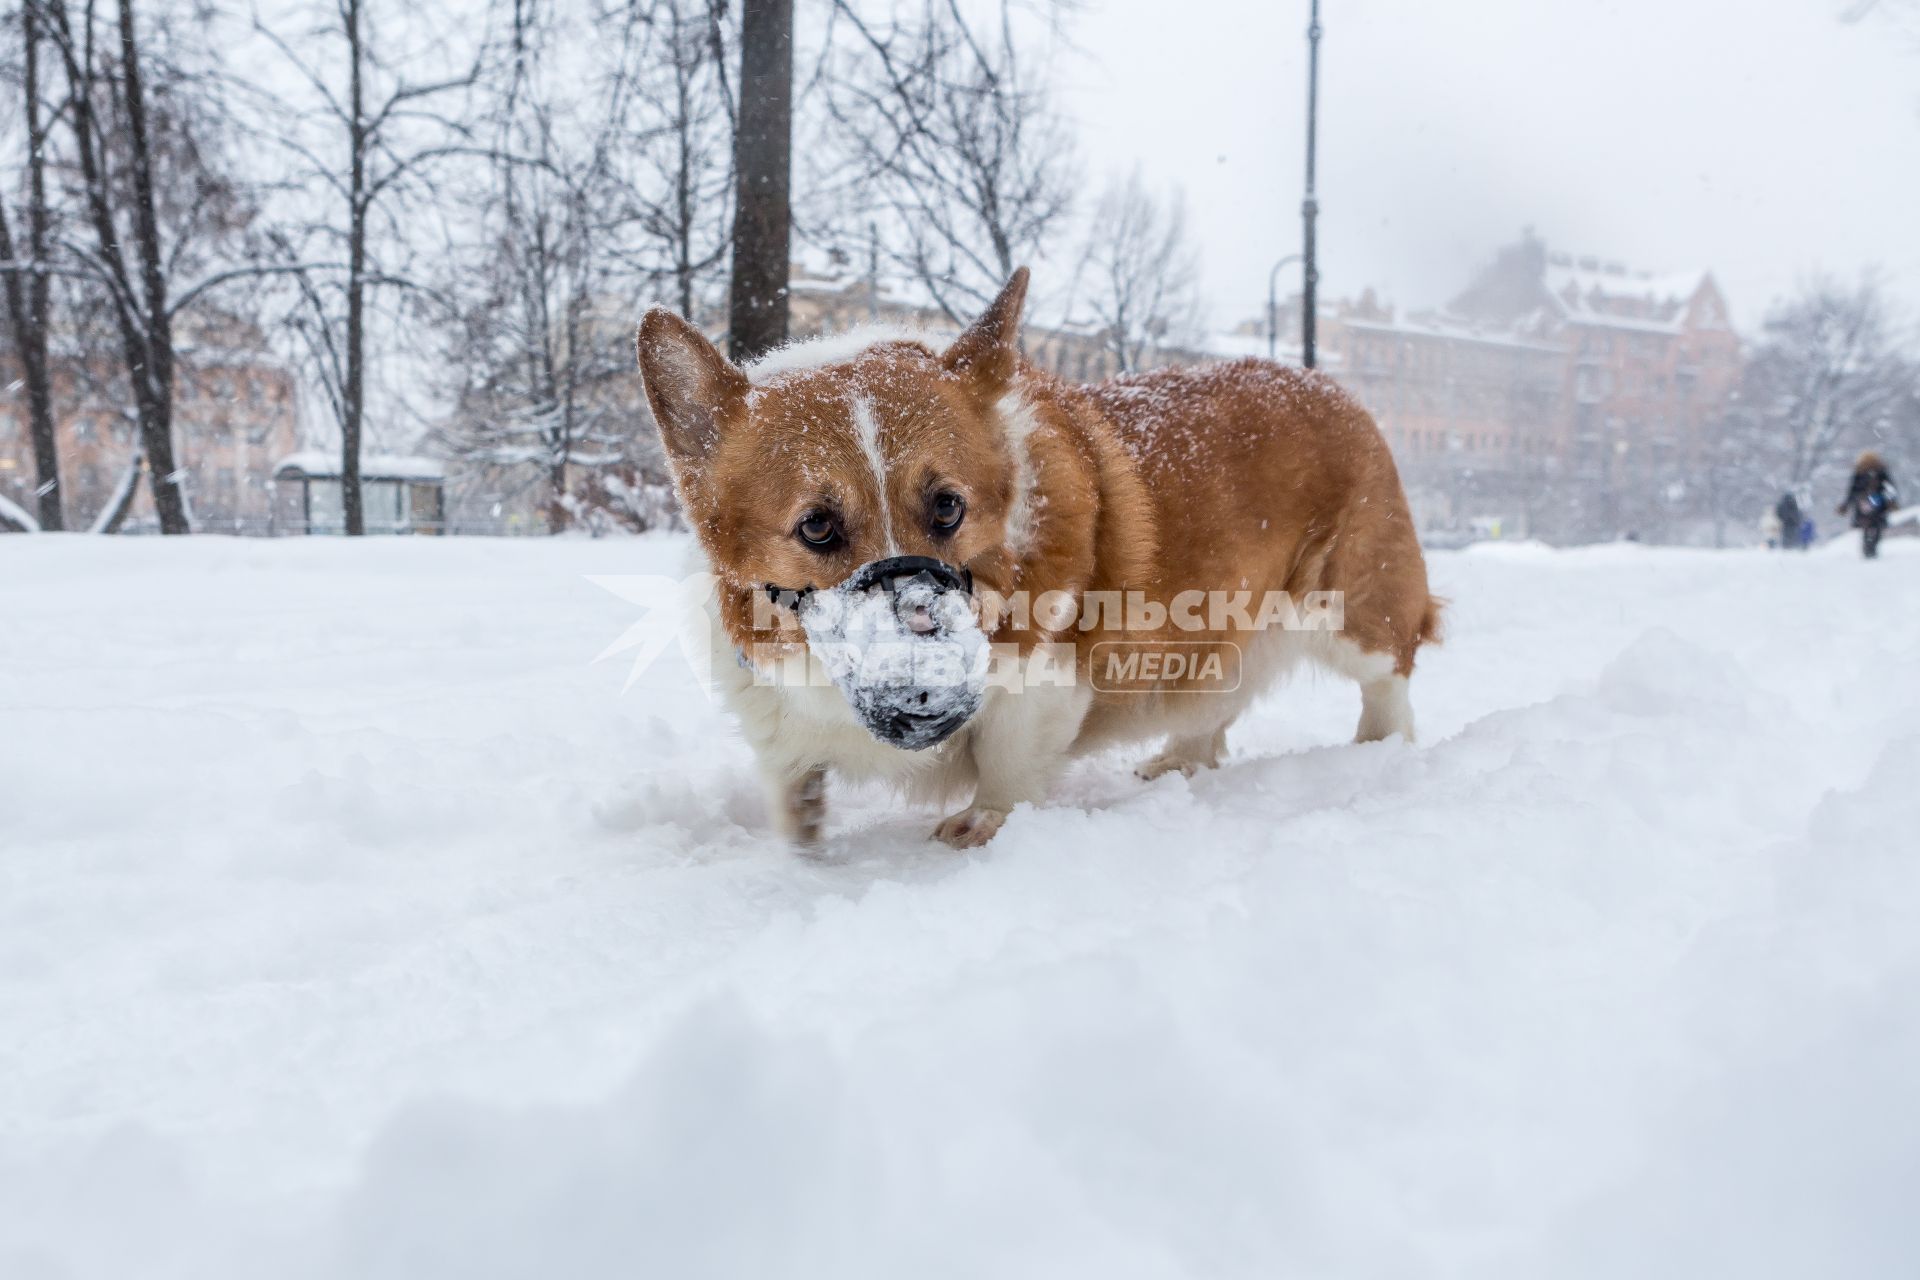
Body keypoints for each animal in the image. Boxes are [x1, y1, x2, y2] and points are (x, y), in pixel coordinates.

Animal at [637, 270, 1436, 852]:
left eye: (948, 507)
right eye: (817, 526)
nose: (927, 692)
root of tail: (1333, 388)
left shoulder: (1042, 679)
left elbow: (1008, 763)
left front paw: (981, 826)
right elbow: (787, 778)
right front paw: (800, 837)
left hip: (1352, 610)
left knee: (1389, 682)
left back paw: (1379, 751)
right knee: (1214, 703)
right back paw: (1178, 759)